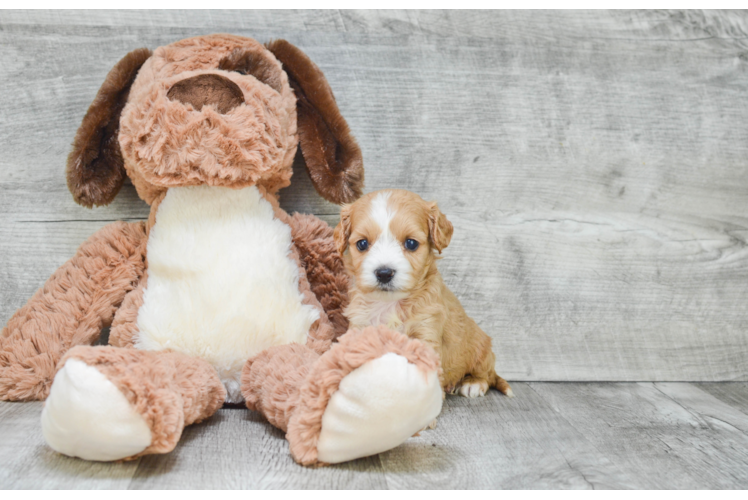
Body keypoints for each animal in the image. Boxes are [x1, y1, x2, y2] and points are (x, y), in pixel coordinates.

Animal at [336, 188, 512, 398]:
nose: (384, 273)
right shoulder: (360, 326)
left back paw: (473, 383)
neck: (390, 303)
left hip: (481, 347)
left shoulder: (426, 331)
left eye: (411, 243)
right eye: (362, 244)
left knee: (487, 372)